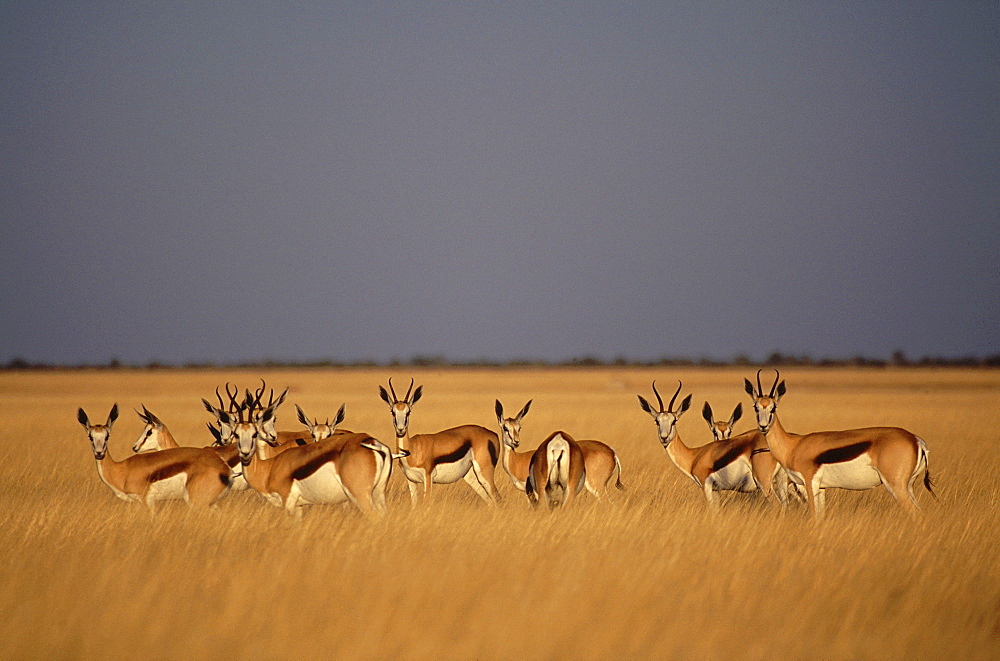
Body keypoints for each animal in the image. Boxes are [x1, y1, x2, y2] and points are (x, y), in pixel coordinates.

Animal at [78, 402, 232, 510]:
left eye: (107, 436)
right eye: (90, 436)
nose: (99, 453)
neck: (122, 469)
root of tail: (224, 468)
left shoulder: (147, 502)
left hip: (198, 503)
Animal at [376, 376, 500, 506]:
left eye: (408, 411)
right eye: (393, 412)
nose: (400, 429)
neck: (412, 449)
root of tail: (492, 434)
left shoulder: (428, 478)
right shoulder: (411, 481)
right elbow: (414, 505)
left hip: (484, 473)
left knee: (497, 498)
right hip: (471, 476)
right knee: (490, 501)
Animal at [748, 368, 932, 520]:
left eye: (773, 408)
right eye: (756, 407)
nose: (763, 426)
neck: (793, 446)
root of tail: (916, 440)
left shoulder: (810, 483)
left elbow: (813, 516)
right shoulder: (820, 489)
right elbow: (820, 517)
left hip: (896, 486)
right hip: (909, 486)